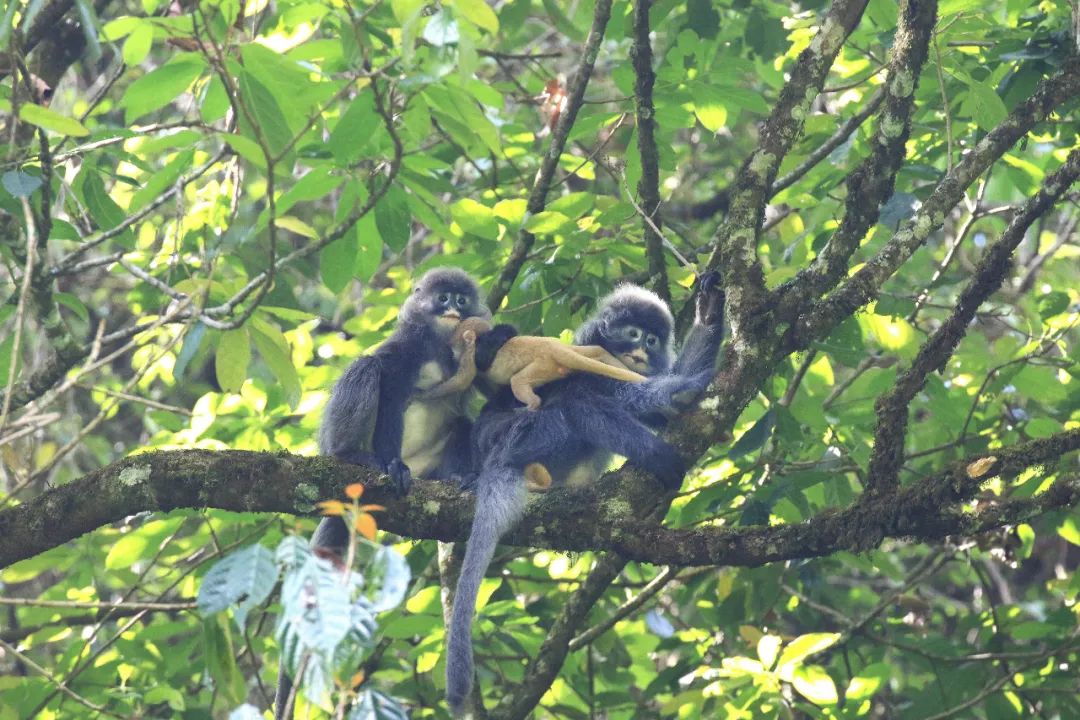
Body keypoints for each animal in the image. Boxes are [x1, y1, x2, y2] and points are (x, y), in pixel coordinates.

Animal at [416, 317, 643, 410]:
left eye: (455, 345)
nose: (452, 353)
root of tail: (553, 348)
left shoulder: (471, 355)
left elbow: (462, 380)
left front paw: (423, 395)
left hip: (543, 366)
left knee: (517, 381)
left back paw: (531, 405)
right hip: (570, 351)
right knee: (597, 350)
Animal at [442, 273, 730, 712]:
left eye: (652, 340)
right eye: (633, 334)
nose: (640, 353)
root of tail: (497, 457)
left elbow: (656, 408)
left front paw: (710, 313)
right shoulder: (593, 356)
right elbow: (614, 396)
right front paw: (682, 397)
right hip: (528, 434)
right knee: (577, 404)